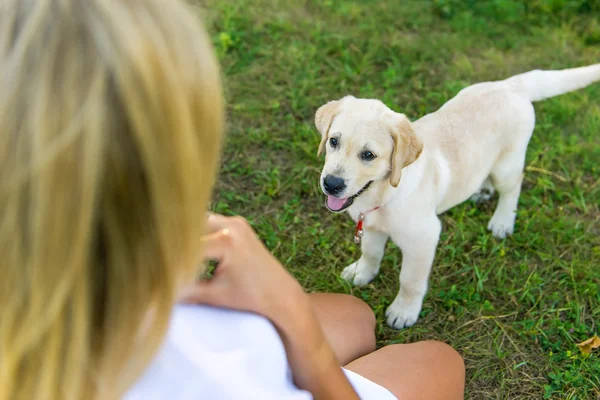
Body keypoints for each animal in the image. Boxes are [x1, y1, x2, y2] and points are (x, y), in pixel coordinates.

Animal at [316, 65, 596, 328]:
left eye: (368, 155)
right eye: (333, 141)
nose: (331, 184)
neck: (383, 193)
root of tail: (510, 85)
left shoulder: (424, 239)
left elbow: (410, 280)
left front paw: (404, 312)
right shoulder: (372, 225)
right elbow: (371, 253)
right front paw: (361, 272)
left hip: (507, 166)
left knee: (513, 187)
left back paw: (503, 221)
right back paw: (482, 190)